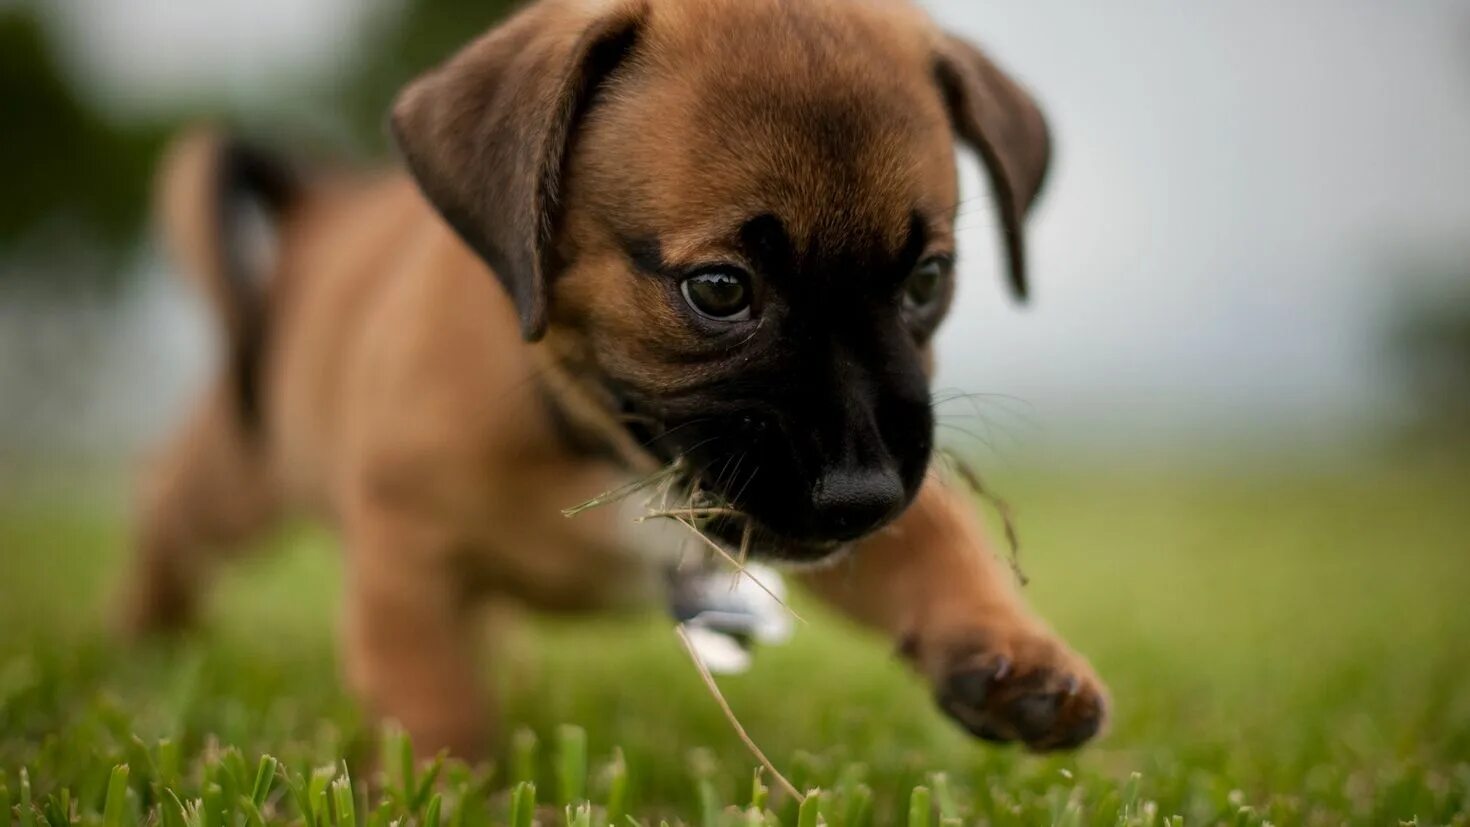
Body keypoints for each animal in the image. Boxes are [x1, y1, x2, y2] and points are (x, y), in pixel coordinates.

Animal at [126, 0, 1105, 757]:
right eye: (718, 289)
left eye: (927, 281)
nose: (862, 496)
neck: (596, 439)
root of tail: (315, 210)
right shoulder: (402, 556)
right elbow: (434, 699)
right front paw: (448, 786)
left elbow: (939, 542)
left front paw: (1013, 654)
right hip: (234, 479)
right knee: (169, 526)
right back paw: (141, 647)